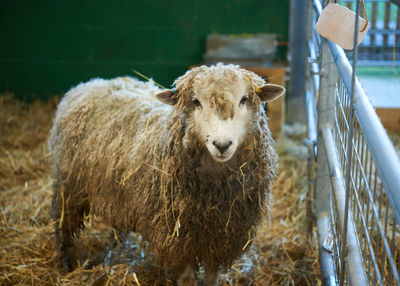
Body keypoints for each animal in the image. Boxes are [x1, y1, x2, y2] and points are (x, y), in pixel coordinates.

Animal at [49, 62, 284, 284]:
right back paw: (63, 265)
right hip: (69, 188)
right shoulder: (177, 240)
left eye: (244, 99)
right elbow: (187, 279)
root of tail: (94, 82)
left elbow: (211, 277)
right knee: (62, 226)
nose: (222, 145)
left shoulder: (218, 240)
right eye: (196, 102)